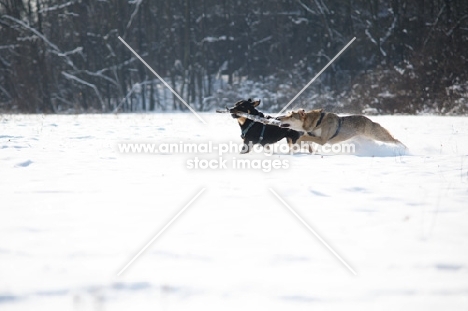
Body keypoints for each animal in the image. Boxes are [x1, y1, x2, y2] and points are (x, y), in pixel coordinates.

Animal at [278, 109, 406, 148]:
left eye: (290, 116)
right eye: (287, 114)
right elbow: (305, 138)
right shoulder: (313, 136)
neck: (316, 123)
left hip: (377, 135)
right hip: (364, 140)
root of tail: (370, 120)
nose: (278, 118)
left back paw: (404, 149)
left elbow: (302, 137)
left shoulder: (323, 140)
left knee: (395, 140)